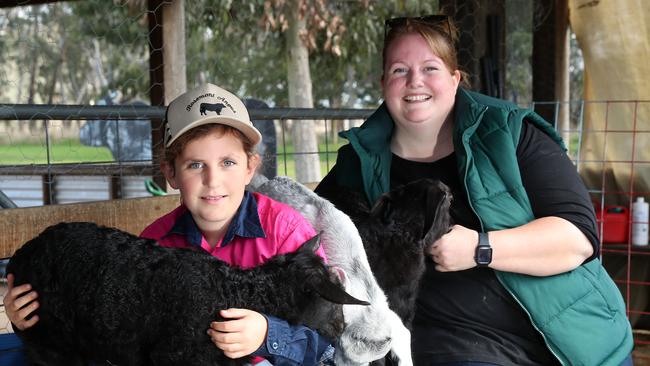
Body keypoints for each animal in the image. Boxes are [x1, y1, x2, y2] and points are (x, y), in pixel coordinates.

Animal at [7, 220, 368, 366]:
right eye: (330, 299)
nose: (341, 328)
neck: (236, 292)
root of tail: (22, 252)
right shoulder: (175, 356)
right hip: (47, 342)